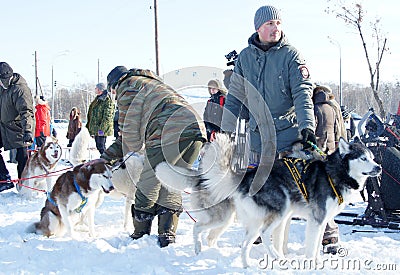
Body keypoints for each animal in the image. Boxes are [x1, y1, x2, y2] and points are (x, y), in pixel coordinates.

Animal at [154, 134, 382, 268]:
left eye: (372, 157)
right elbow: (311, 247)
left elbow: (317, 245)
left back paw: (246, 265)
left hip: (246, 220)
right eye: (363, 158)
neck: (335, 172)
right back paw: (276, 258)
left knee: (243, 242)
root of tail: (246, 175)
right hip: (276, 212)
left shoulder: (322, 220)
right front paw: (312, 265)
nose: (379, 167)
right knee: (261, 234)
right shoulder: (316, 220)